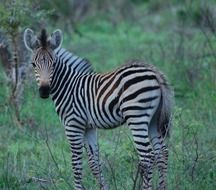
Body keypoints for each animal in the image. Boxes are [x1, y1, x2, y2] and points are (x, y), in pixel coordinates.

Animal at [22, 28, 173, 190]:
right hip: (153, 119)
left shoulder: (73, 125)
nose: (44, 91)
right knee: (162, 152)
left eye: (54, 64)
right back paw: (162, 187)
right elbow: (94, 162)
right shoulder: (89, 127)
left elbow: (76, 163)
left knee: (147, 157)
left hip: (136, 117)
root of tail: (154, 72)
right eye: (33, 64)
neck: (68, 86)